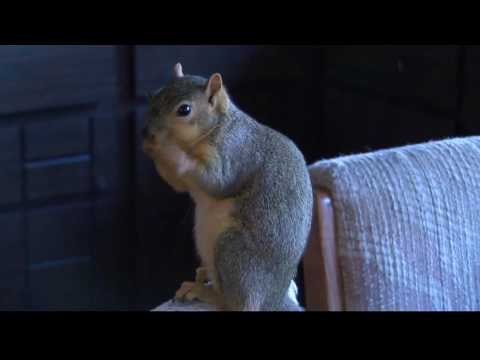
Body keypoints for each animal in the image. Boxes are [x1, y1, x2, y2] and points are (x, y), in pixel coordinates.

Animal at [142, 63, 316, 310]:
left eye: (184, 109)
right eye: (155, 95)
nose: (147, 133)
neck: (219, 125)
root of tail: (273, 301)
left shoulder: (237, 151)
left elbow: (218, 179)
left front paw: (168, 151)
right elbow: (178, 184)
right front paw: (152, 149)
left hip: (233, 253)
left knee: (234, 302)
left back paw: (205, 292)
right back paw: (203, 275)